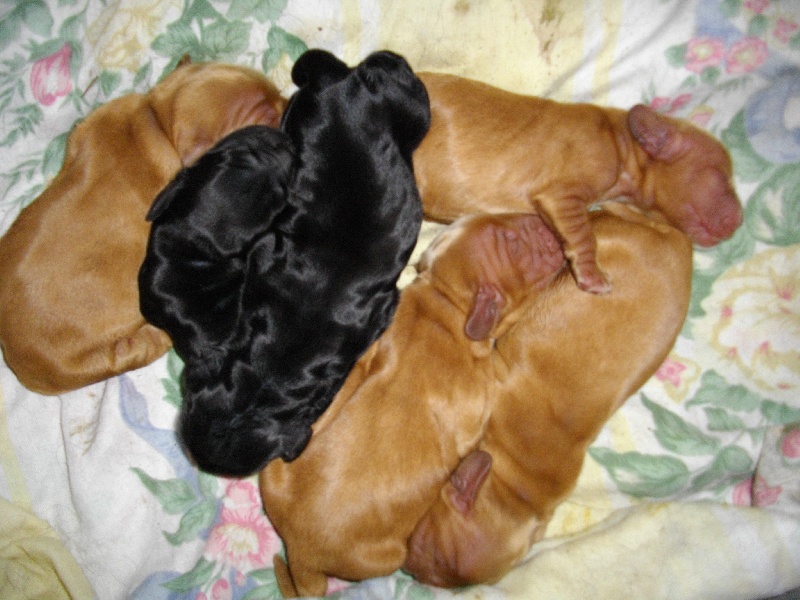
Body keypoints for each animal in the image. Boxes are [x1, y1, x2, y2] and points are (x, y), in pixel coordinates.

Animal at [0, 59, 286, 394]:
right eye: (267, 117)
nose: (293, 101)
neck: (157, 120)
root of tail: (16, 359)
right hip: (84, 363)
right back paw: (157, 337)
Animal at [260, 213, 564, 596]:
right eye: (513, 243)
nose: (542, 219)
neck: (448, 303)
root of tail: (301, 554)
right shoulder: (479, 404)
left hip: (273, 471)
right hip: (388, 558)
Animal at [416, 72, 740, 292]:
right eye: (723, 177)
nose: (739, 221)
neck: (623, 143)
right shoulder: (561, 195)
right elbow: (583, 235)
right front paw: (593, 276)